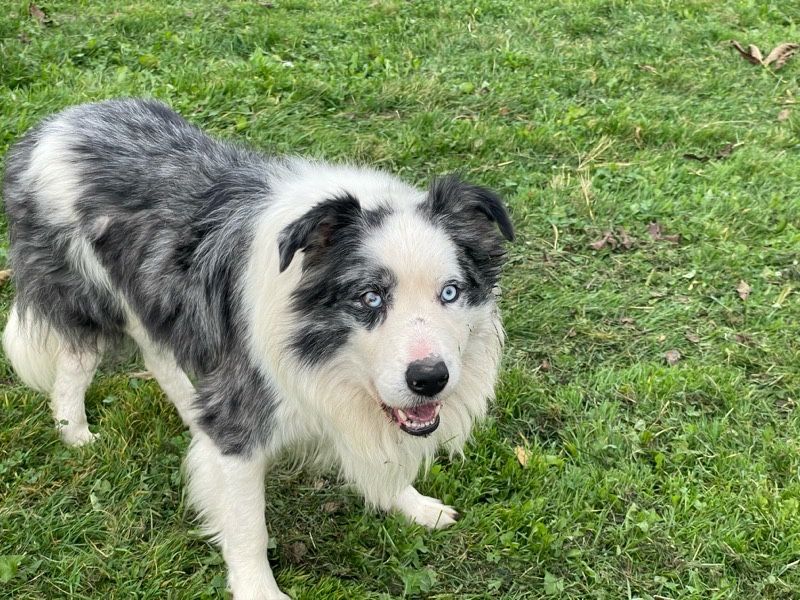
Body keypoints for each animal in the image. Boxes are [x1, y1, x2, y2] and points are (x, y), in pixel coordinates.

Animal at [1, 97, 512, 596]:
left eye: (450, 292)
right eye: (370, 297)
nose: (430, 379)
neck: (317, 348)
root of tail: (57, 122)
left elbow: (385, 459)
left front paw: (413, 504)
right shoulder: (242, 422)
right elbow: (248, 526)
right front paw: (258, 589)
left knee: (158, 355)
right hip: (89, 295)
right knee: (76, 360)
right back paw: (75, 433)